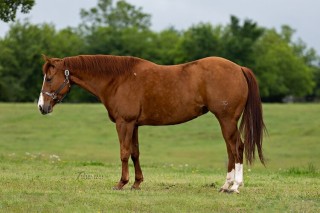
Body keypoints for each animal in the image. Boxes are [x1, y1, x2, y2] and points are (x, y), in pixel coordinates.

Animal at [37, 54, 264, 193]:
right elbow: (135, 153)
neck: (118, 79)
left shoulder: (124, 123)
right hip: (226, 121)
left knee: (237, 148)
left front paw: (121, 183)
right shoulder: (134, 125)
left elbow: (124, 152)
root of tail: (239, 68)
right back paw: (226, 185)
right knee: (230, 149)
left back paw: (235, 186)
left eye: (49, 78)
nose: (41, 107)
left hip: (227, 119)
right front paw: (137, 183)